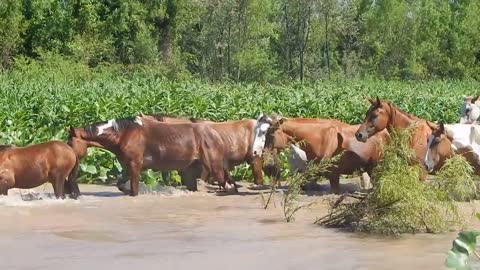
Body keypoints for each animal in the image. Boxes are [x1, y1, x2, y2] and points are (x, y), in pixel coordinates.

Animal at [67, 114, 231, 196]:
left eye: (69, 142)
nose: (69, 157)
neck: (123, 134)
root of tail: (215, 134)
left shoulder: (135, 166)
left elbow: (134, 190)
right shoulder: (129, 167)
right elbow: (121, 185)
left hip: (214, 168)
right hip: (191, 172)